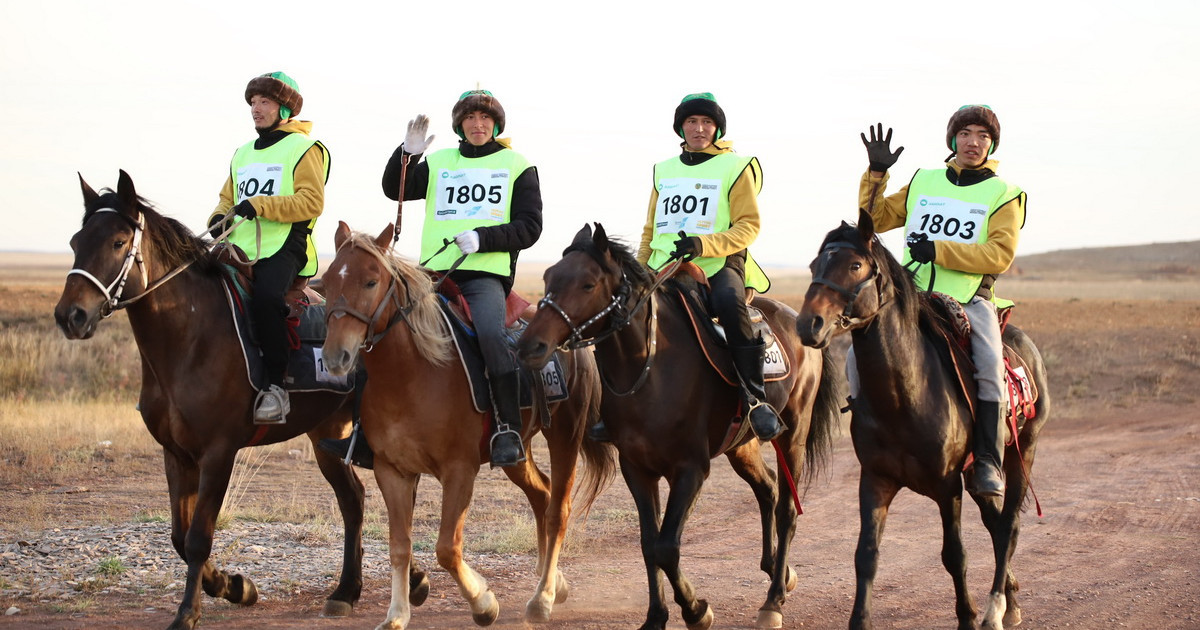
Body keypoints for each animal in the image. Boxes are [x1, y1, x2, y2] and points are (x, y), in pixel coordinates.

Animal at [54, 169, 386, 624]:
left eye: (119, 242)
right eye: (74, 242)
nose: (70, 316)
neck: (189, 338)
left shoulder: (218, 453)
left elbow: (198, 537)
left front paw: (188, 612)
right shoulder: (176, 454)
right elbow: (179, 536)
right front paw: (234, 586)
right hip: (326, 435)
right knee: (354, 500)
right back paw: (350, 590)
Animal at [319, 220, 619, 628]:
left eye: (370, 281)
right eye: (326, 282)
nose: (337, 356)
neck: (412, 373)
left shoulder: (459, 470)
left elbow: (447, 547)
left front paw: (483, 602)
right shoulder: (391, 471)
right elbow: (400, 546)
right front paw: (397, 614)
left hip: (564, 437)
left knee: (558, 510)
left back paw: (542, 597)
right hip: (517, 451)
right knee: (541, 495)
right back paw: (554, 583)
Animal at [516, 222, 844, 628]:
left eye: (588, 284)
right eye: (548, 277)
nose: (530, 346)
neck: (651, 369)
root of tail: (798, 318)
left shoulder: (690, 470)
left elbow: (667, 546)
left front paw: (696, 610)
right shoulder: (637, 469)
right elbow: (648, 544)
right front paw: (656, 616)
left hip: (794, 435)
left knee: (786, 510)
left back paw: (773, 600)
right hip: (742, 444)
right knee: (767, 488)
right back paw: (777, 571)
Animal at [796, 211, 1051, 628]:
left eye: (855, 265)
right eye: (814, 265)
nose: (808, 324)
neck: (904, 396)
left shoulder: (947, 487)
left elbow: (955, 555)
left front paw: (967, 616)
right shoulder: (876, 480)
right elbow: (866, 556)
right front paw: (860, 619)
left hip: (1021, 451)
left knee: (1009, 525)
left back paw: (996, 607)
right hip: (976, 471)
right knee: (996, 523)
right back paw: (1010, 600)